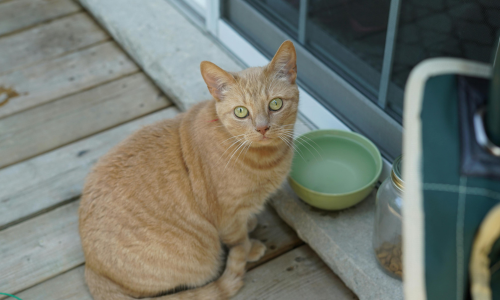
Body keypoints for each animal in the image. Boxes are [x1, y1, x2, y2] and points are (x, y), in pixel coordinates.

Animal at [77, 40, 296, 300]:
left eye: (275, 104)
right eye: (241, 111)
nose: (262, 128)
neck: (266, 158)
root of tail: (91, 268)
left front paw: (251, 224)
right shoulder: (227, 214)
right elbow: (238, 238)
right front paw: (250, 246)